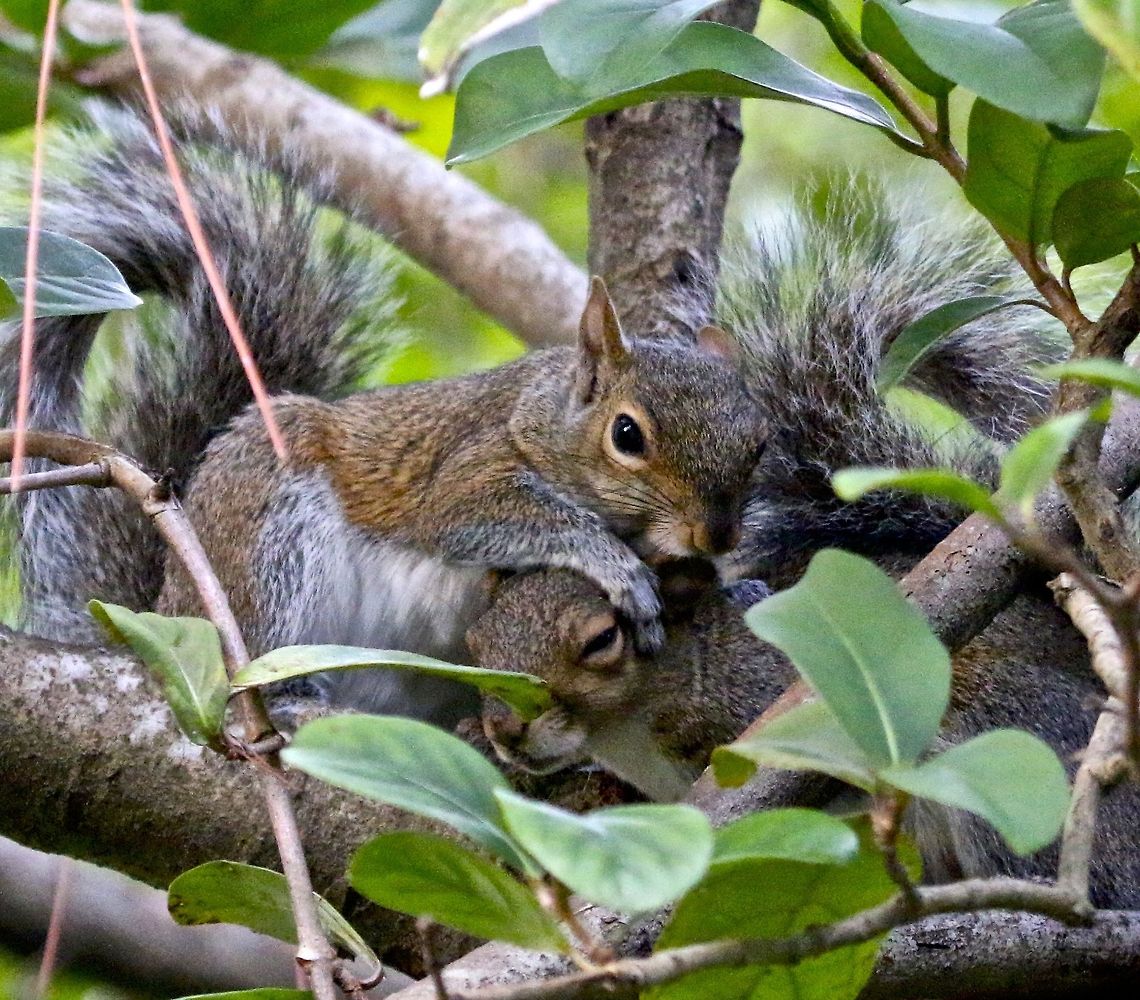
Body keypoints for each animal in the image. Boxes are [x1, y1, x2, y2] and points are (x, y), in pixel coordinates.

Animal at [0, 105, 766, 724]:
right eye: (627, 434)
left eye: (760, 445)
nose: (717, 534)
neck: (544, 419)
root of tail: (161, 615)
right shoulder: (470, 471)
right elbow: (490, 518)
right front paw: (618, 566)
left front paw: (739, 586)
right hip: (263, 549)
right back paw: (286, 692)